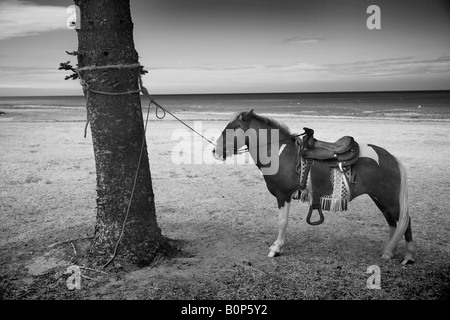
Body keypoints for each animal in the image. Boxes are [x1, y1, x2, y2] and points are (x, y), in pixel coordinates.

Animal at [213, 110, 416, 264]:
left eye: (232, 129)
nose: (215, 151)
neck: (280, 153)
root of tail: (391, 158)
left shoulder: (283, 195)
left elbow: (282, 221)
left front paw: (277, 249)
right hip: (380, 199)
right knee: (392, 222)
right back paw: (389, 252)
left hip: (389, 199)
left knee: (405, 221)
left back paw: (408, 257)